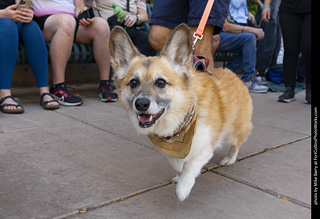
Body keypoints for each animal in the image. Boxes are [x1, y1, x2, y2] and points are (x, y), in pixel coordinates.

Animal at [110, 24, 252, 202]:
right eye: (133, 83)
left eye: (161, 82)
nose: (141, 104)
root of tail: (234, 74)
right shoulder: (172, 150)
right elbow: (178, 163)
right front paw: (178, 176)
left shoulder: (206, 145)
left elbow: (190, 165)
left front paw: (183, 187)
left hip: (235, 130)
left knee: (236, 144)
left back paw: (229, 159)